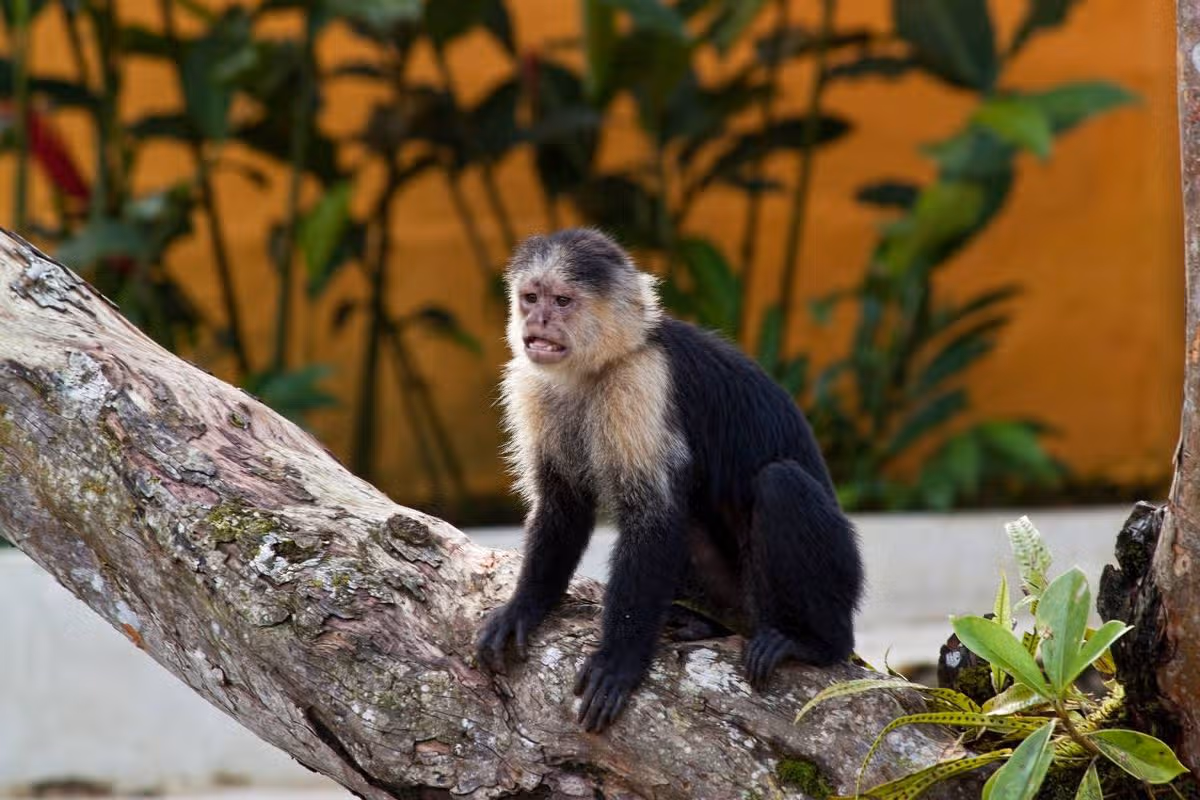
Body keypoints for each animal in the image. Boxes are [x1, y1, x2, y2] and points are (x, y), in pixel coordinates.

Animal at [475, 228, 863, 733]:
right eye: (530, 298)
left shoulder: (643, 381)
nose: (538, 321)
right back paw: (704, 624)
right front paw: (524, 606)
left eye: (562, 301)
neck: (598, 368)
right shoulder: (532, 384)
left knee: (781, 485)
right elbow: (563, 503)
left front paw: (619, 660)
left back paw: (815, 642)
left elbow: (653, 517)